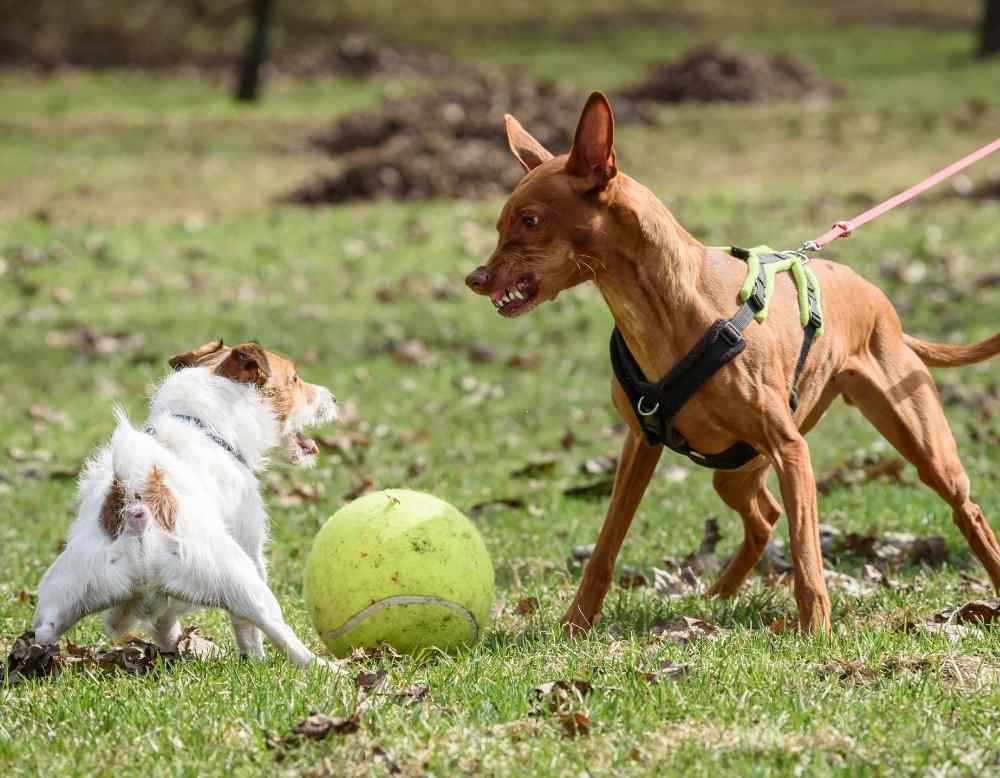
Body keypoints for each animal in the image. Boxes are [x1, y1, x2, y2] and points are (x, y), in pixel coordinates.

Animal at [31, 340, 338, 668]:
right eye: (294, 379)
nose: (333, 397)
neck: (205, 426)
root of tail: (139, 511)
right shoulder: (250, 542)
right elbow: (247, 631)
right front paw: (254, 659)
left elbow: (166, 621)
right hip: (242, 582)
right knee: (279, 633)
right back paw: (325, 667)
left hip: (65, 593)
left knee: (46, 630)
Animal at [464, 94, 1000, 632]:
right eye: (500, 224)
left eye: (530, 221)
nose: (475, 279)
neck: (666, 308)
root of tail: (879, 300)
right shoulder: (640, 445)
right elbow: (605, 547)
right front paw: (576, 624)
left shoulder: (791, 450)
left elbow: (807, 555)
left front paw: (817, 632)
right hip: (736, 470)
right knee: (764, 516)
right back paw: (718, 594)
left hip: (920, 446)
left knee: (966, 509)